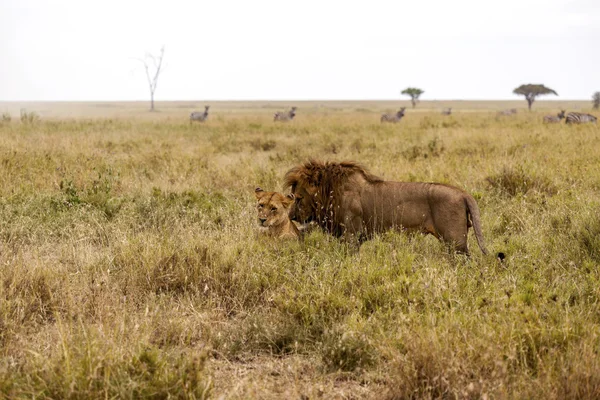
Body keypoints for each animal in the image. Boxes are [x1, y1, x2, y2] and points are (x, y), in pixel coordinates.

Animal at [284, 159, 488, 253]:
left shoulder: (350, 236)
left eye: (298, 198)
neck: (330, 193)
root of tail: (463, 193)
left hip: (456, 242)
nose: (291, 216)